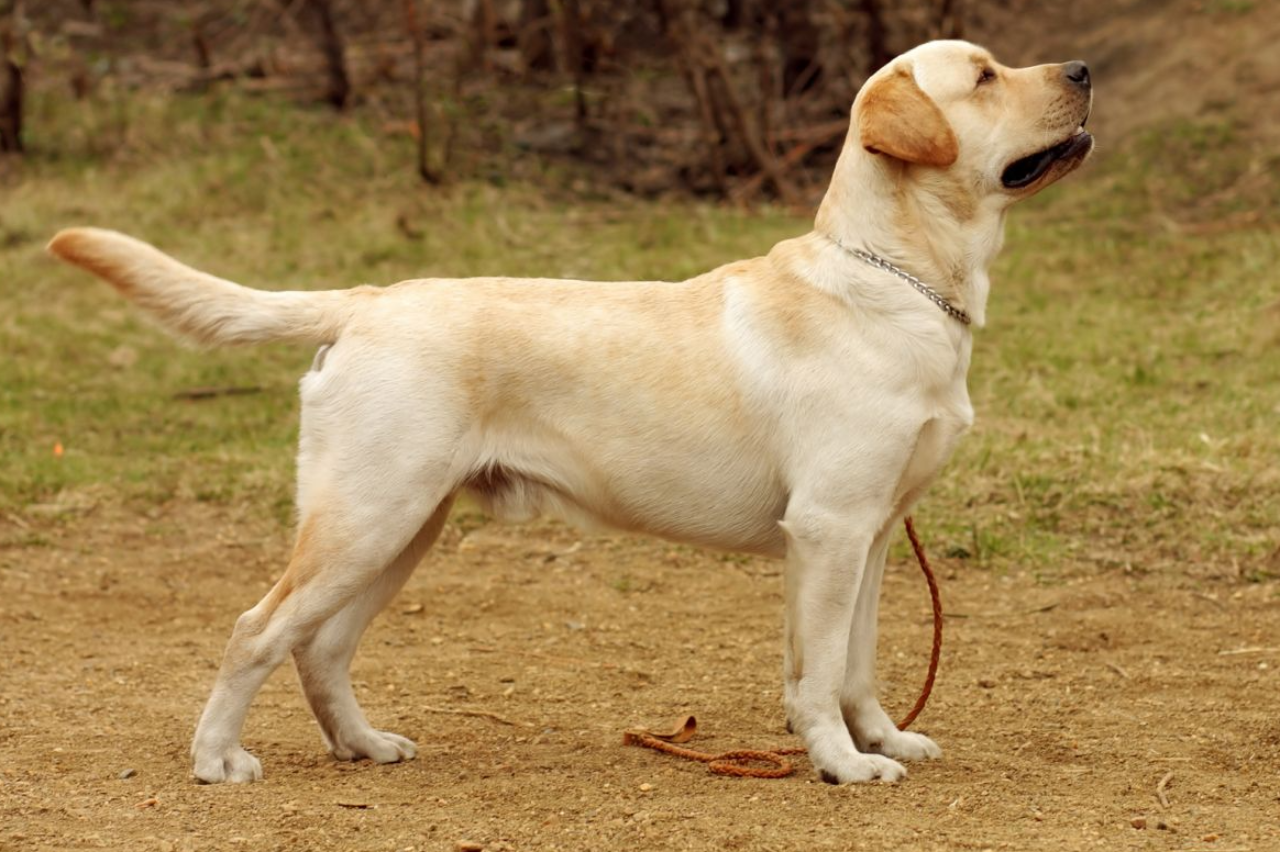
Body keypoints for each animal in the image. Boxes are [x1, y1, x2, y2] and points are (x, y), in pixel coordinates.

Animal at [47, 39, 1090, 782]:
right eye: (986, 77)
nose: (1084, 71)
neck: (897, 278)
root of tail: (367, 299)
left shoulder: (871, 535)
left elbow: (857, 663)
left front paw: (881, 742)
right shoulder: (830, 529)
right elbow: (820, 671)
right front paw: (840, 763)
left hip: (403, 526)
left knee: (322, 646)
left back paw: (364, 746)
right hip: (367, 516)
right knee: (256, 630)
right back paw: (216, 759)